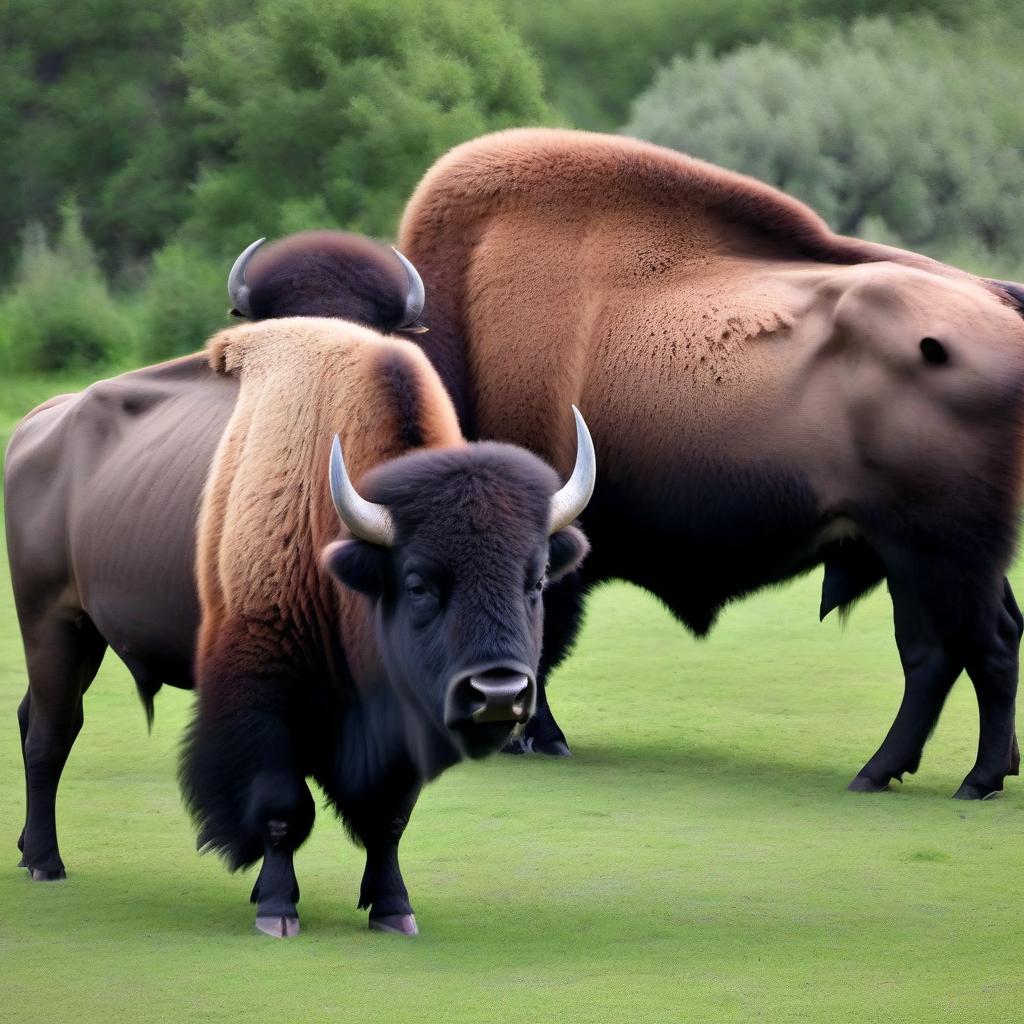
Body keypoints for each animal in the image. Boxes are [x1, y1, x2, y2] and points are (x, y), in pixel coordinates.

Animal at [2, 241, 593, 937]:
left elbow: (389, 815)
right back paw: (46, 863)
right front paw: (277, 909)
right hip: (52, 623)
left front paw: (393, 909)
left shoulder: (397, 714)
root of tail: (35, 426)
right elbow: (283, 806)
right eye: (417, 583)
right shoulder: (266, 687)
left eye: (535, 580)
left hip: (83, 636)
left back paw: (28, 852)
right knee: (52, 734)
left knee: (35, 717)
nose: (498, 693)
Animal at [397, 130, 1024, 798]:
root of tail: (999, 302)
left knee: (978, 647)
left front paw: (538, 738)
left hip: (934, 551)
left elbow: (538, 639)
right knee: (955, 649)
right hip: (919, 556)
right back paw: (912, 772)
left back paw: (964, 779)